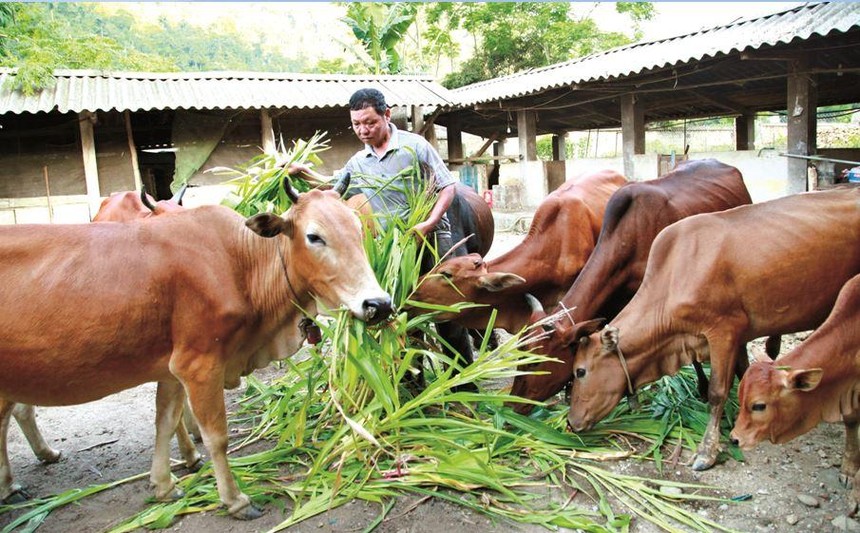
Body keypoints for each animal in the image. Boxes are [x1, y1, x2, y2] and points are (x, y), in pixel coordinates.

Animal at [0, 177, 394, 516]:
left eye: (358, 229)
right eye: (314, 236)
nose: (379, 304)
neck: (240, 264)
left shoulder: (171, 368)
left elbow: (165, 420)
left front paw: (164, 485)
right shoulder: (199, 364)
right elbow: (216, 436)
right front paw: (234, 499)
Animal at [564, 187, 860, 470]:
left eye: (580, 371)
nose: (569, 422)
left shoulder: (724, 331)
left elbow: (718, 392)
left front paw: (707, 451)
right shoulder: (736, 336)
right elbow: (743, 373)